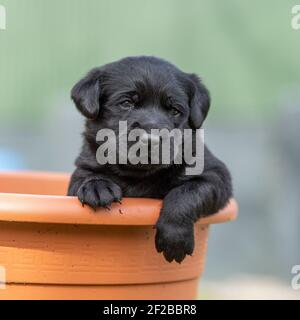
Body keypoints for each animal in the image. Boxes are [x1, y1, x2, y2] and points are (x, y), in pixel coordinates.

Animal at [68, 57, 232, 262]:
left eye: (174, 110)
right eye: (127, 103)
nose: (152, 139)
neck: (139, 173)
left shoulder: (216, 175)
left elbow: (186, 192)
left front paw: (174, 238)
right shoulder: (84, 165)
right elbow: (85, 176)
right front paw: (96, 186)